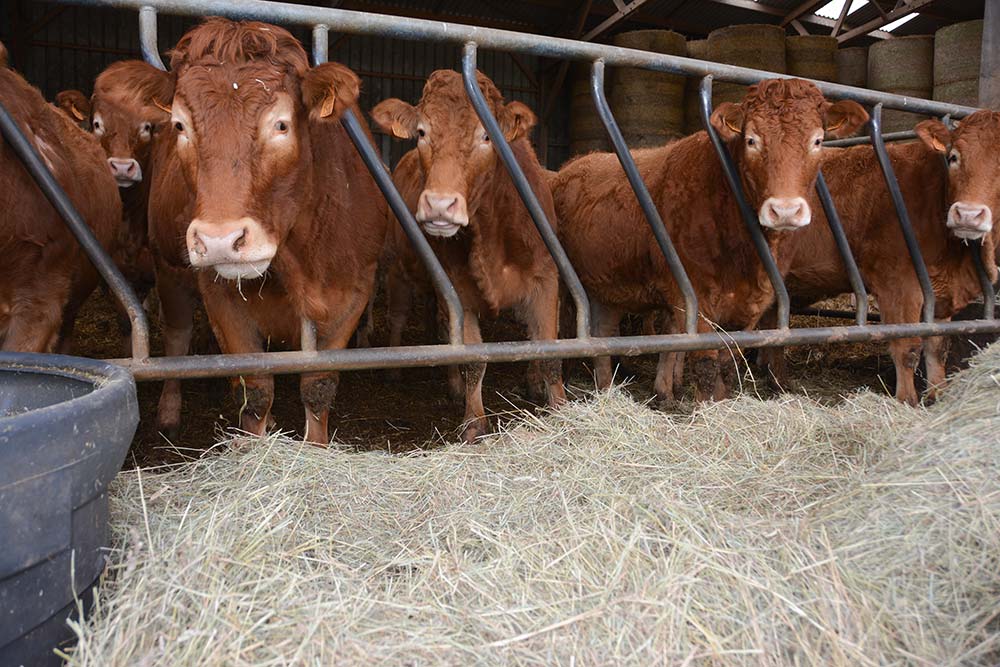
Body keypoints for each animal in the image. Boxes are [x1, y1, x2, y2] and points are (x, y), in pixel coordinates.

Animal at [111, 18, 387, 444]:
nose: (219, 241)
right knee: (177, 337)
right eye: (180, 125)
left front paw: (316, 446)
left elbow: (318, 387)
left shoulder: (354, 289)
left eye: (281, 124)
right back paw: (169, 412)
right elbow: (255, 392)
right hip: (168, 266)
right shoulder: (220, 295)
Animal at [372, 69, 566, 442]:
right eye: (422, 132)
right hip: (399, 268)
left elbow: (549, 351)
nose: (439, 205)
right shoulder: (460, 289)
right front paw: (474, 421)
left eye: (486, 135)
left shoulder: (546, 279)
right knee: (406, 317)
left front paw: (559, 408)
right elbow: (473, 358)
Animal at [551, 79, 868, 401]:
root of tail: (575, 164)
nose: (785, 210)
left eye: (817, 141)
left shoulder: (754, 303)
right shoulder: (694, 297)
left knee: (602, 334)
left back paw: (606, 389)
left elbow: (727, 364)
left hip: (608, 285)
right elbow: (706, 364)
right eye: (751, 140)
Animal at [757, 111, 1000, 405]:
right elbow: (906, 348)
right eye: (954, 157)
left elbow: (936, 346)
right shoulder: (897, 283)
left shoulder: (940, 294)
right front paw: (906, 402)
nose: (967, 214)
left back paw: (777, 382)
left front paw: (937, 396)